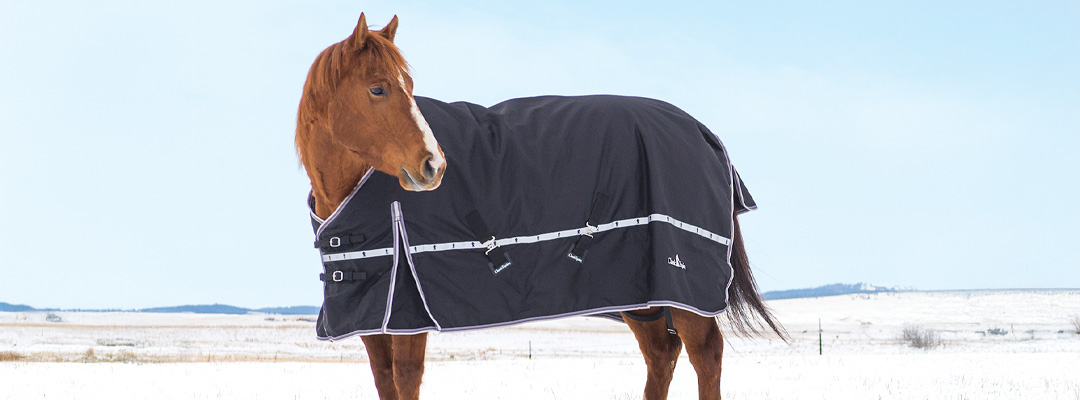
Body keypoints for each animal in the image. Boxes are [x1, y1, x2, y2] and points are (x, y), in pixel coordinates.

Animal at [295, 13, 785, 400]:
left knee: (706, 353)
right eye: (377, 89)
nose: (433, 165)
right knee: (661, 354)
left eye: (410, 87)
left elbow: (406, 382)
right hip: (642, 293)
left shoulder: (408, 318)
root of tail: (703, 132)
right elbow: (386, 383)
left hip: (682, 288)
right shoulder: (372, 322)